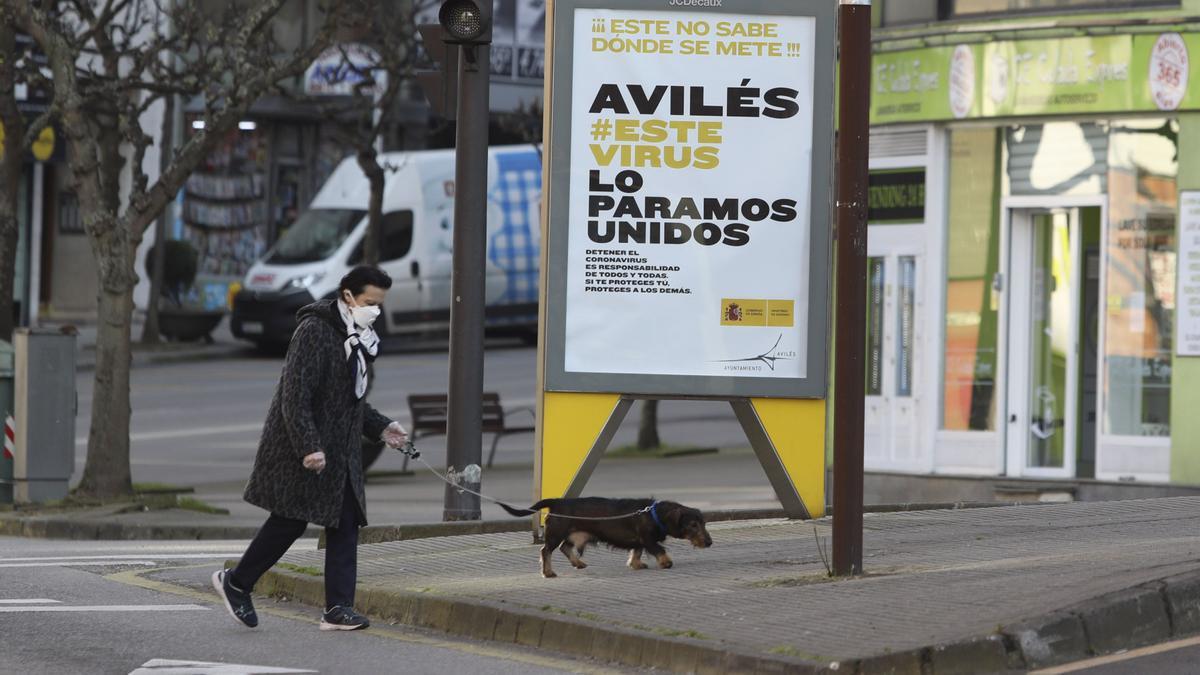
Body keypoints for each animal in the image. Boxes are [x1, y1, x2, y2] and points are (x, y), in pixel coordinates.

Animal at [499, 497, 710, 576]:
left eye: (704, 523)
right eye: (693, 525)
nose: (709, 542)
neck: (653, 514)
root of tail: (556, 502)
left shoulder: (639, 542)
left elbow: (637, 552)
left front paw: (636, 564)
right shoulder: (648, 539)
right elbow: (659, 549)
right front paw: (666, 562)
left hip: (572, 534)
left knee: (564, 548)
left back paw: (578, 563)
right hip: (556, 533)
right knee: (546, 551)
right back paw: (548, 572)